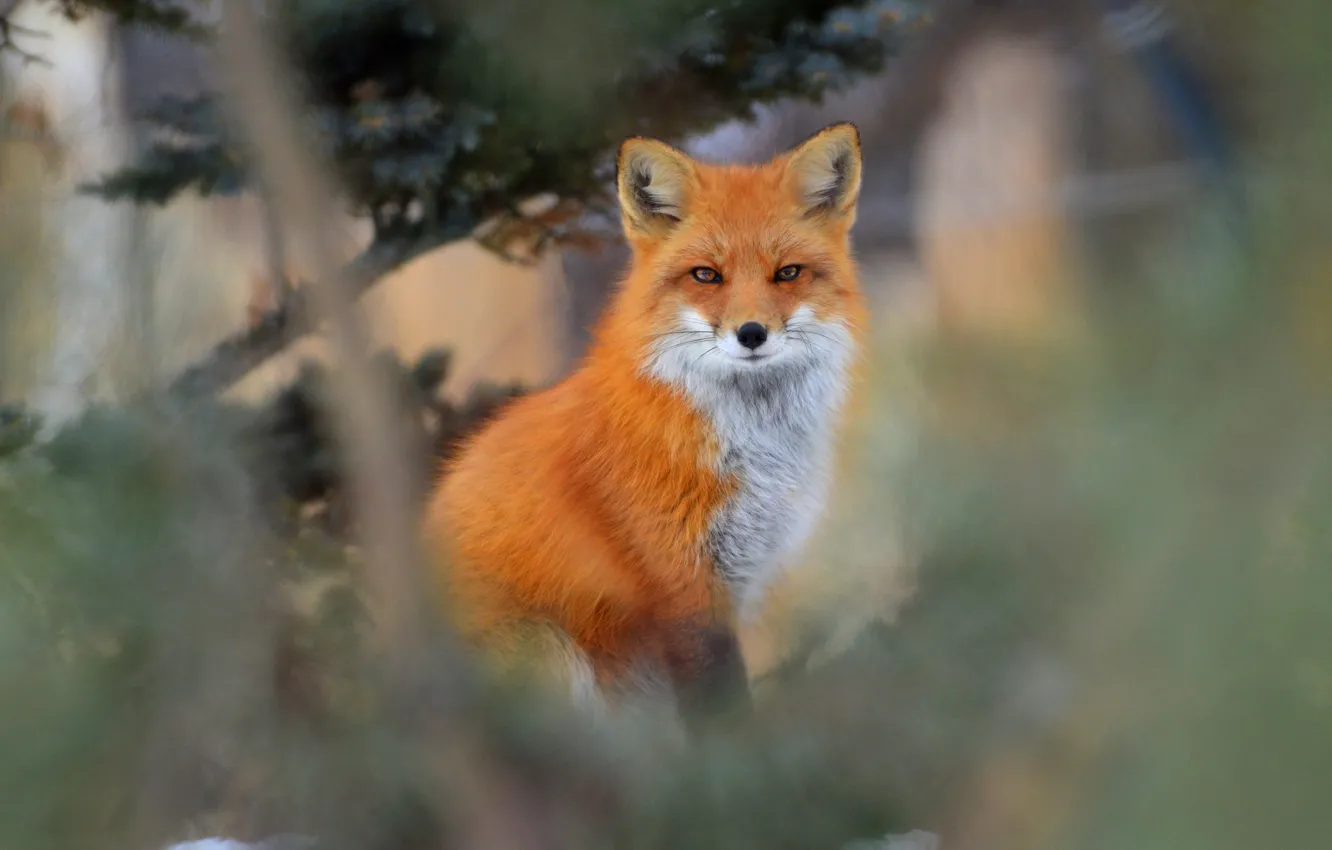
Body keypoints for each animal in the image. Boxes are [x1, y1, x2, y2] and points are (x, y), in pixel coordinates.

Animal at [423, 122, 868, 733]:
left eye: (788, 273)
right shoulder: (682, 590)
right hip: (546, 650)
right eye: (706, 275)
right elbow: (719, 710)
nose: (751, 333)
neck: (751, 452)